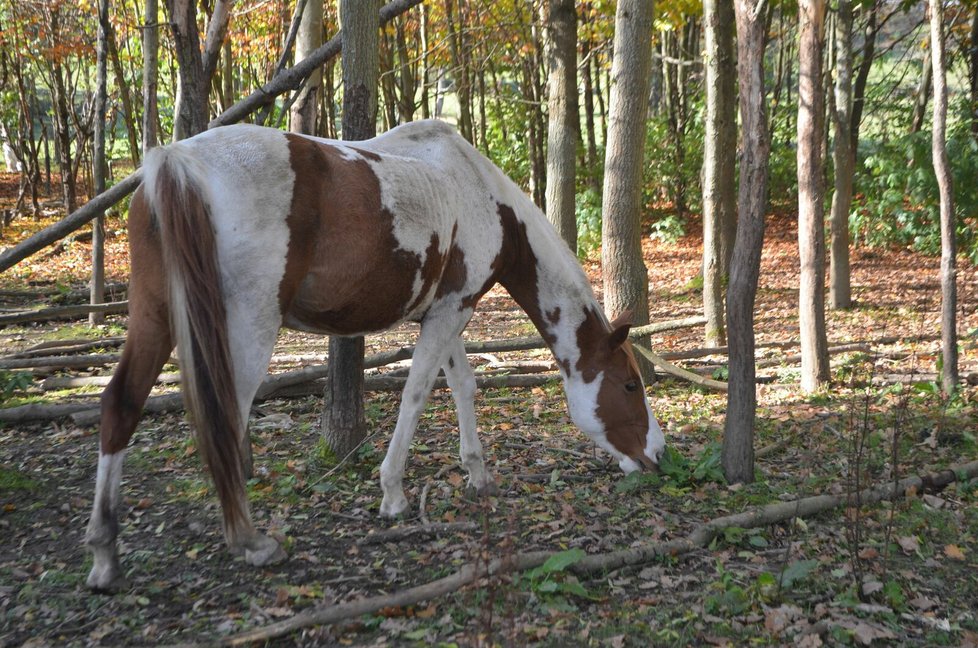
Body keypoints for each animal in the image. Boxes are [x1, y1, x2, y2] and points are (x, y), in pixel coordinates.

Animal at [84, 120, 668, 592]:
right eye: (630, 385)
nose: (657, 455)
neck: (481, 195)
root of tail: (176, 161)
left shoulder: (447, 311)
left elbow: (463, 385)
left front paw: (477, 474)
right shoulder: (451, 311)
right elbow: (416, 393)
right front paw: (393, 494)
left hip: (155, 315)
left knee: (121, 404)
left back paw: (105, 556)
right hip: (246, 327)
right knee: (225, 419)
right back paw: (250, 541)